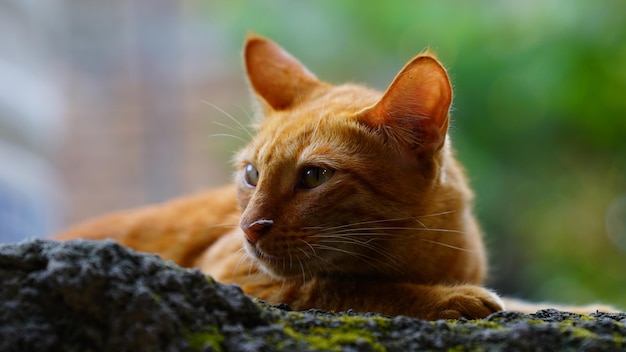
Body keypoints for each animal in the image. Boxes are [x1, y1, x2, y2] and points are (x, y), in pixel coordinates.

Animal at [58, 35, 544, 320]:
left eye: (313, 176)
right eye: (251, 174)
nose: (249, 228)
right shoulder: (234, 273)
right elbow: (336, 285)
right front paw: (450, 298)